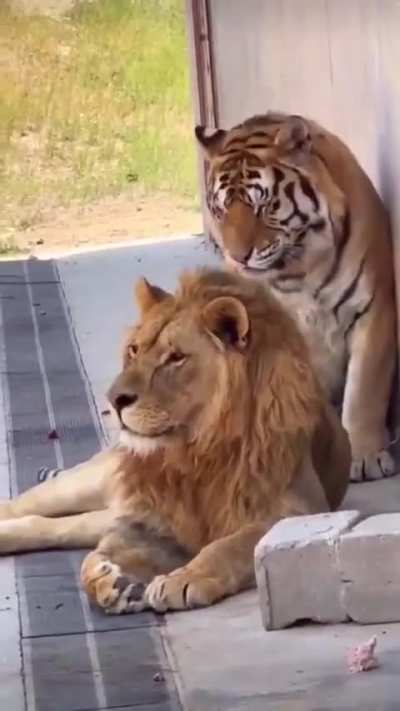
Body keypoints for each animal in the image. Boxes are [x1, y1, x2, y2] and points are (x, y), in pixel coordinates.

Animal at [0, 268, 350, 614]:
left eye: (176, 357)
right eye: (134, 349)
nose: (115, 399)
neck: (196, 448)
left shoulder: (301, 511)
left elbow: (230, 546)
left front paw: (182, 579)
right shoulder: (156, 520)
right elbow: (96, 561)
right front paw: (109, 579)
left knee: (59, 527)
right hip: (86, 484)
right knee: (25, 508)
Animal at [195, 111, 397, 483]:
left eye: (262, 206)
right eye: (220, 211)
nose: (238, 257)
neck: (299, 268)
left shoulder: (372, 310)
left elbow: (364, 391)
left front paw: (365, 456)